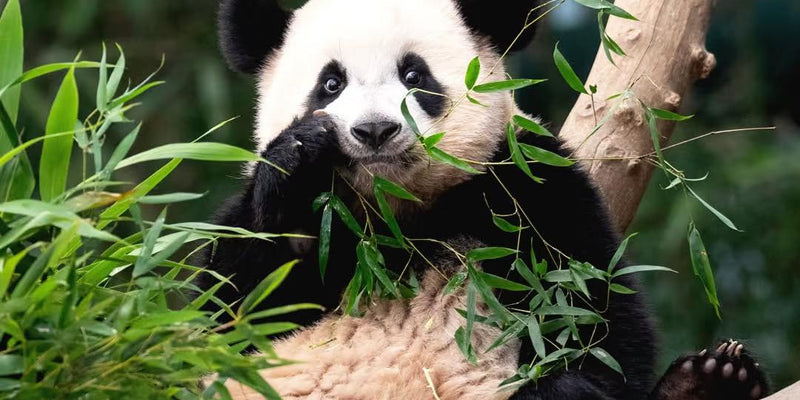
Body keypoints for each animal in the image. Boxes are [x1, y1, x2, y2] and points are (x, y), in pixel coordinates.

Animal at [200, 0, 769, 399]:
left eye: (414, 75)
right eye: (331, 83)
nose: (374, 131)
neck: (398, 211)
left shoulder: (525, 188)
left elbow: (596, 311)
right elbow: (228, 312)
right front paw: (299, 157)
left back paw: (709, 381)